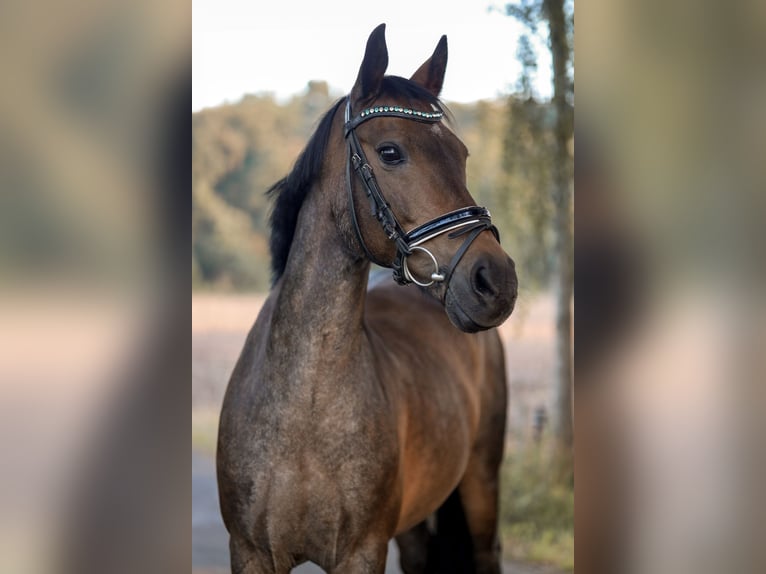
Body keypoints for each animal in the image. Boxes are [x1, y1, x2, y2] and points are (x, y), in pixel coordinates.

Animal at [219, 24, 524, 574]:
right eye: (390, 152)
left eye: (462, 155)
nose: (496, 281)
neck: (306, 407)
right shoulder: (250, 552)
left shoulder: (362, 551)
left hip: (481, 482)